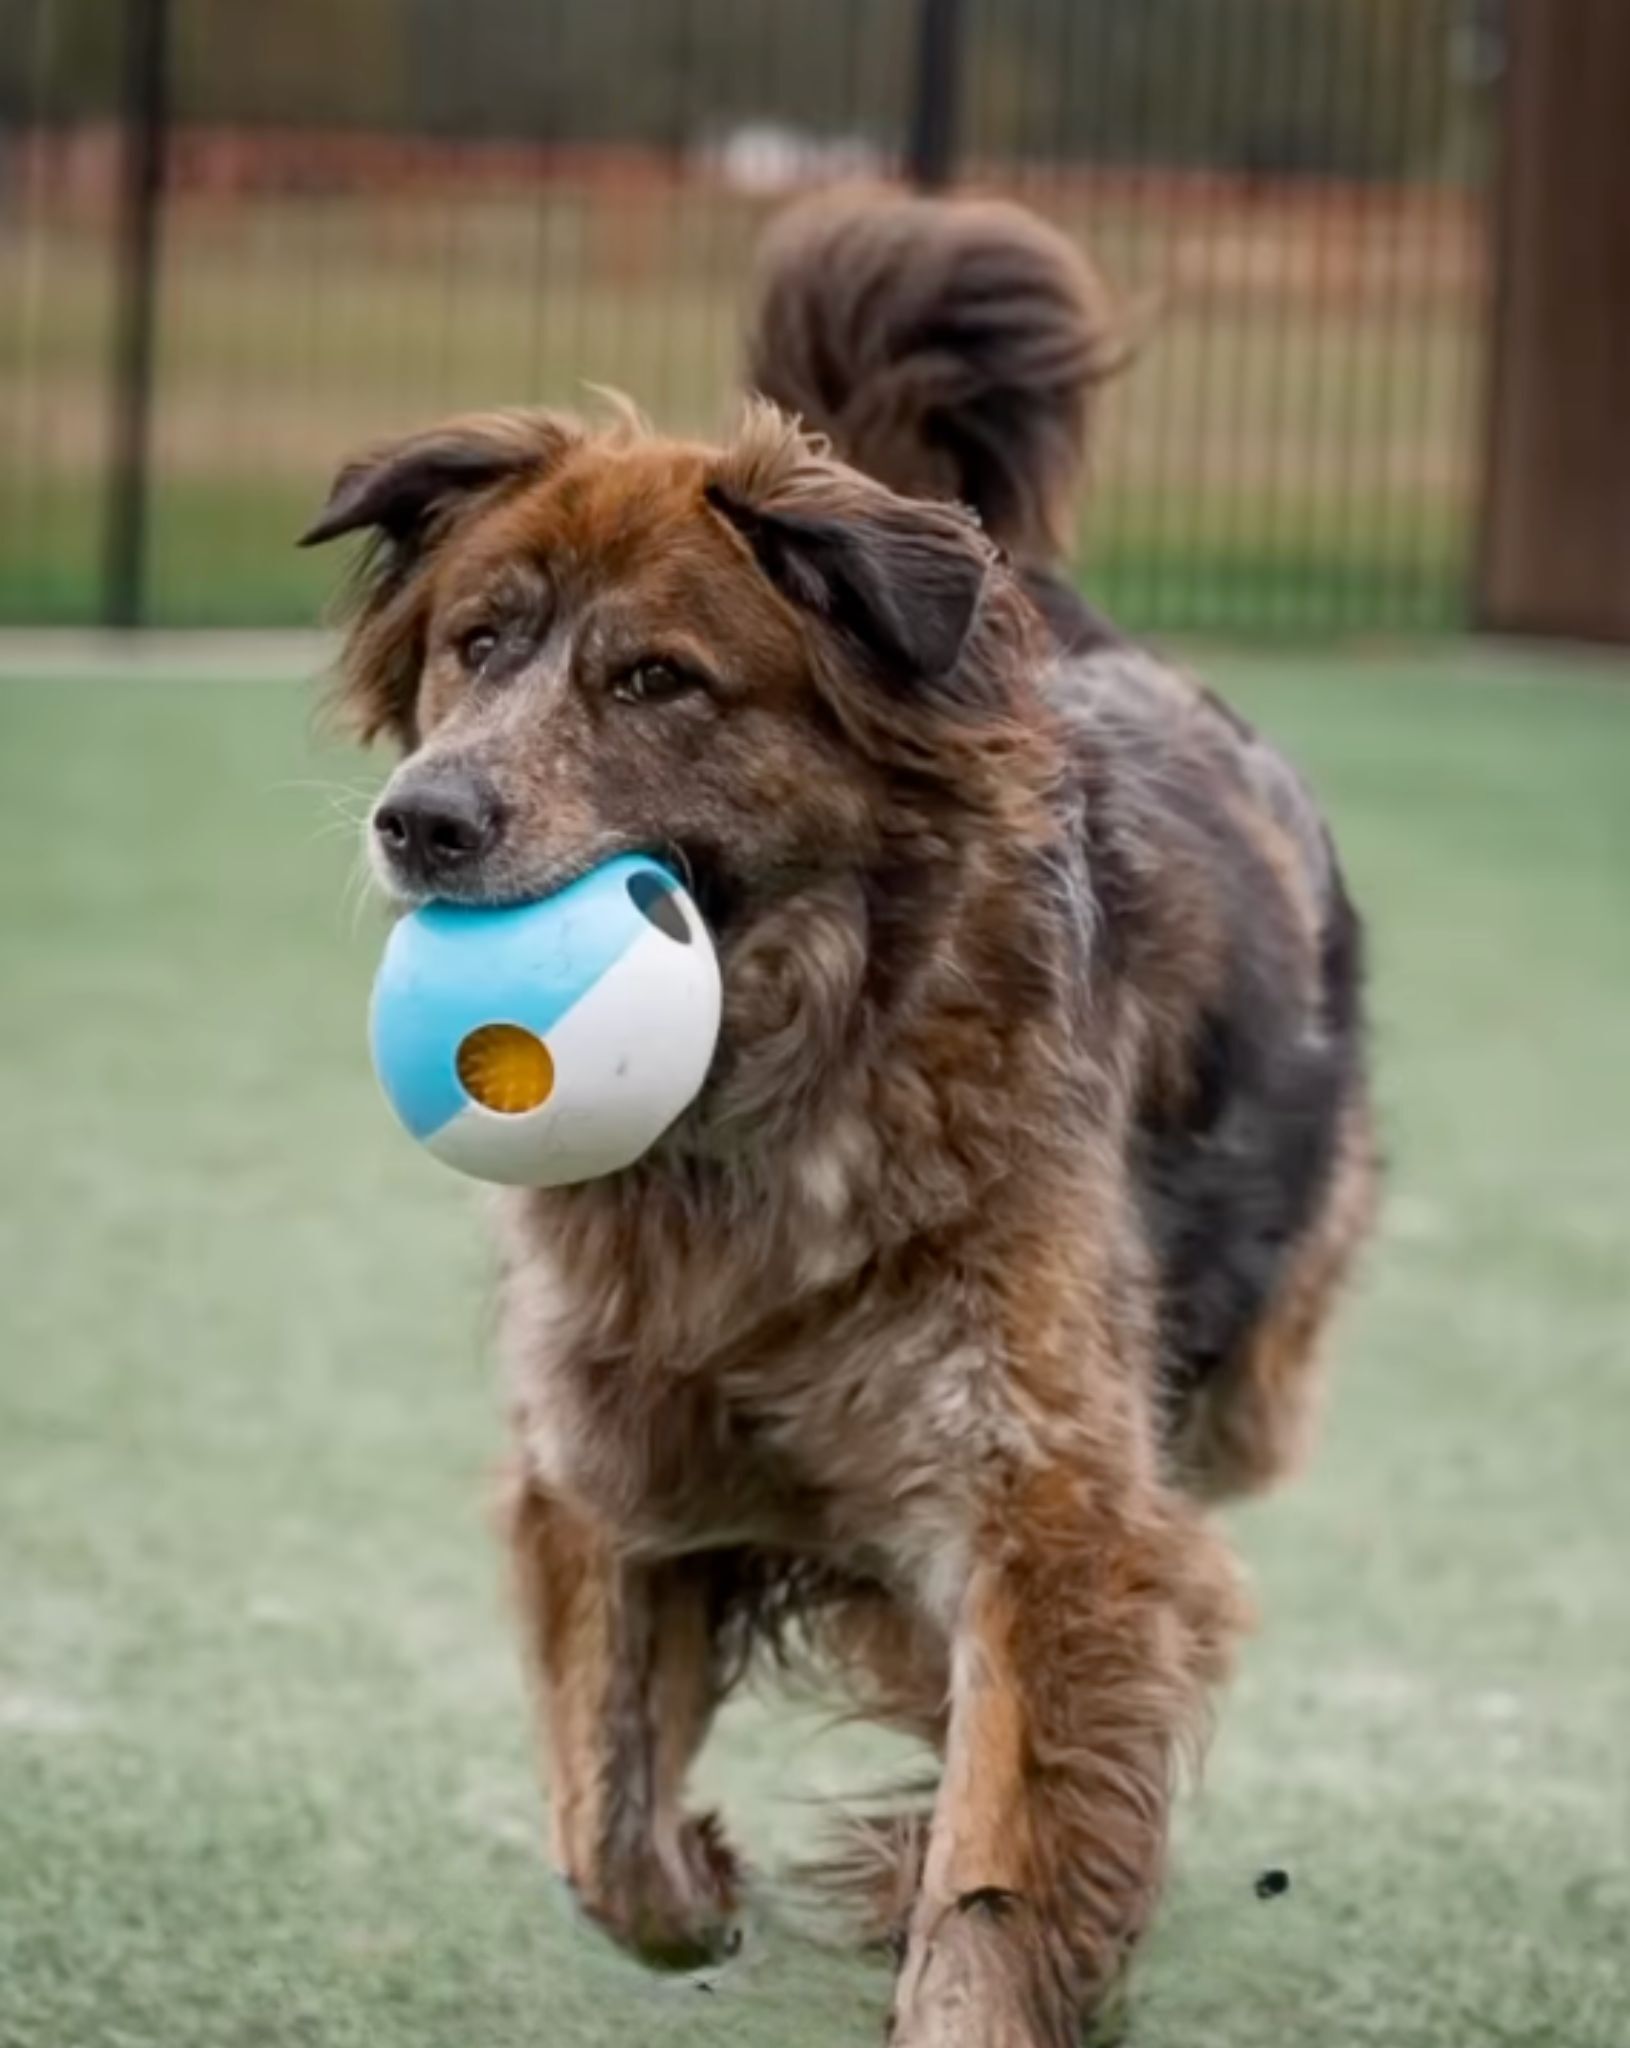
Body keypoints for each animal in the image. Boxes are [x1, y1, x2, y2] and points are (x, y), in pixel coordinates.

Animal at [303, 184, 1376, 2039]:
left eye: (660, 680)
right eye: (477, 643)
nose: (421, 820)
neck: (771, 1100)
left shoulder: (1050, 1497)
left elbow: (1003, 1851)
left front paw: (963, 1951)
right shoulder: (613, 1452)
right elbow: (605, 1818)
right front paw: (699, 1888)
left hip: (1246, 1374)